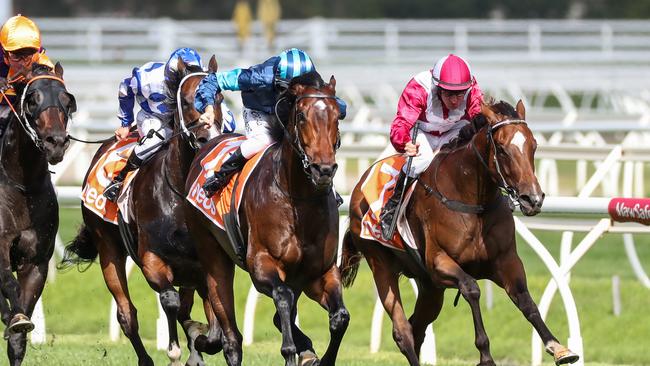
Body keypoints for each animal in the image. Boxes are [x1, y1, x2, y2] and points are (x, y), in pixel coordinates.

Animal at [59, 56, 224, 366]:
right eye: (186, 101)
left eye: (219, 97)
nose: (207, 137)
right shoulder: (151, 260)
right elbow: (170, 301)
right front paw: (174, 348)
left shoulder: (201, 266)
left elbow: (211, 326)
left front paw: (199, 343)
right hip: (108, 249)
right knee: (127, 314)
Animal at [186, 71, 350, 366]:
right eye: (301, 116)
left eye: (337, 115)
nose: (323, 169)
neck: (298, 200)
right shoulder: (262, 265)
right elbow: (282, 298)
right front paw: (292, 352)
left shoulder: (319, 272)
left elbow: (340, 317)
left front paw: (315, 356)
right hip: (212, 253)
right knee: (231, 338)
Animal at [340, 100, 576, 366]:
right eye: (502, 149)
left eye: (533, 145)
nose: (532, 199)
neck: (473, 203)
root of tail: (359, 186)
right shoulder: (438, 263)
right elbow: (471, 288)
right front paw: (485, 355)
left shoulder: (506, 261)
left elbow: (525, 300)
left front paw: (558, 347)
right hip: (381, 265)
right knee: (402, 331)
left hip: (430, 287)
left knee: (416, 327)